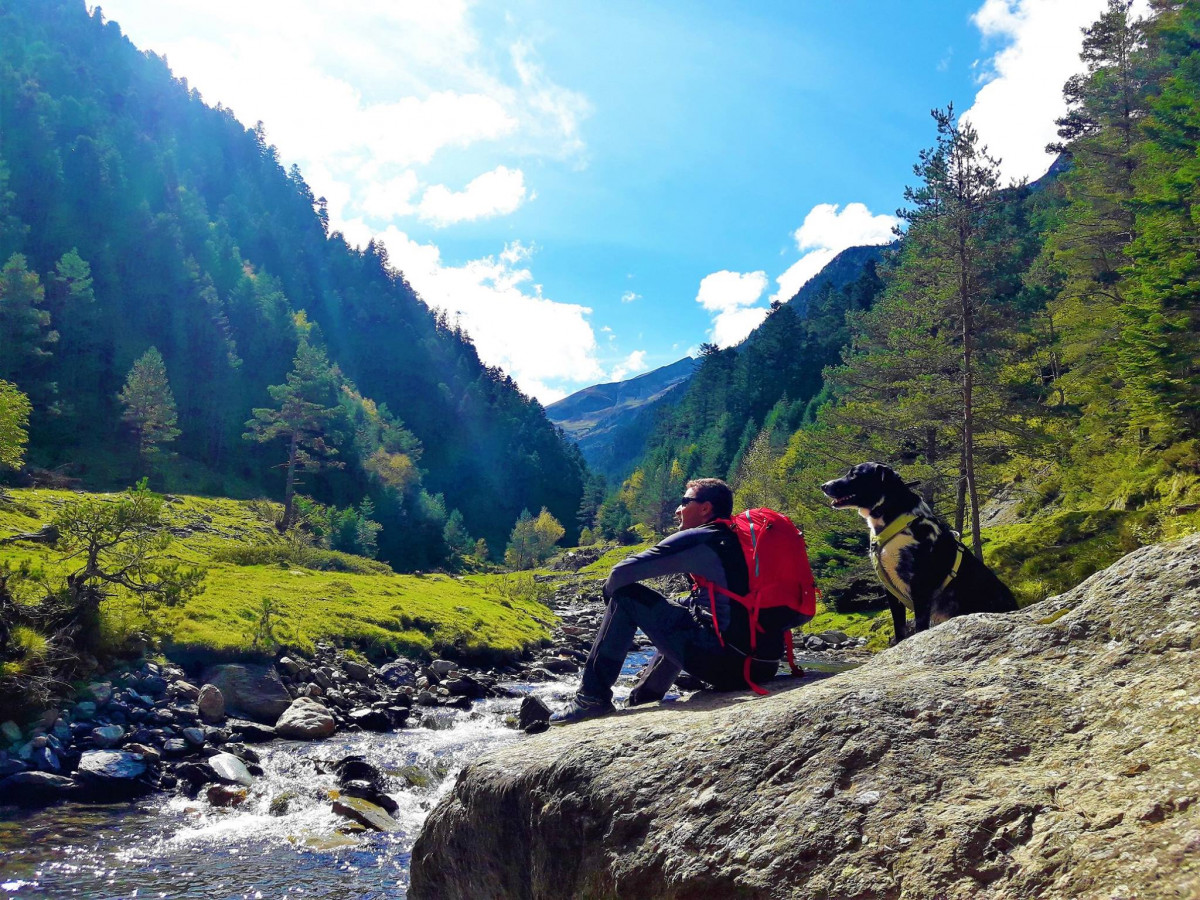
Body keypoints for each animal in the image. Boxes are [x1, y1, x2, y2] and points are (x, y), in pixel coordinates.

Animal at [816, 460, 1012, 643]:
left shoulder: (920, 588)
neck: (894, 518)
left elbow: (919, 627)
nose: (823, 486)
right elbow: (899, 628)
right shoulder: (891, 591)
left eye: (854, 475)